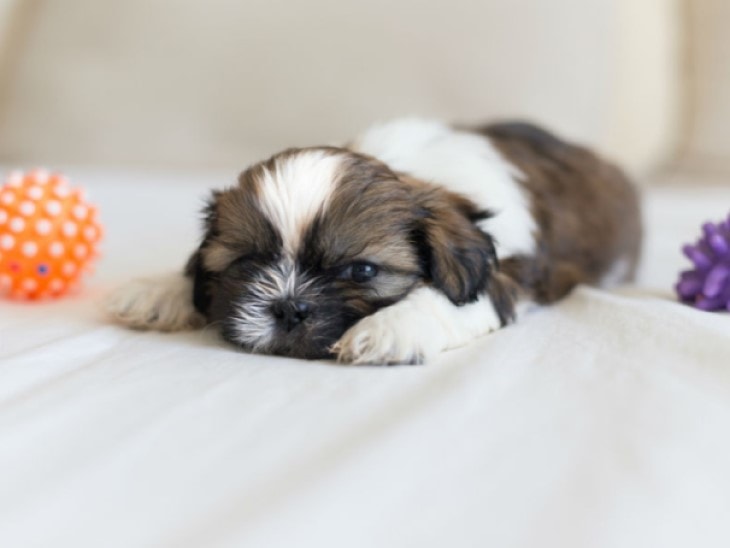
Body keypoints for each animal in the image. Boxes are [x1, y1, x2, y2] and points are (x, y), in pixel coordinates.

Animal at [105, 119, 640, 364]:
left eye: (361, 270)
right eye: (247, 263)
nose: (288, 308)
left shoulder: (502, 273)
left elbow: (449, 299)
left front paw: (389, 328)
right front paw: (158, 290)